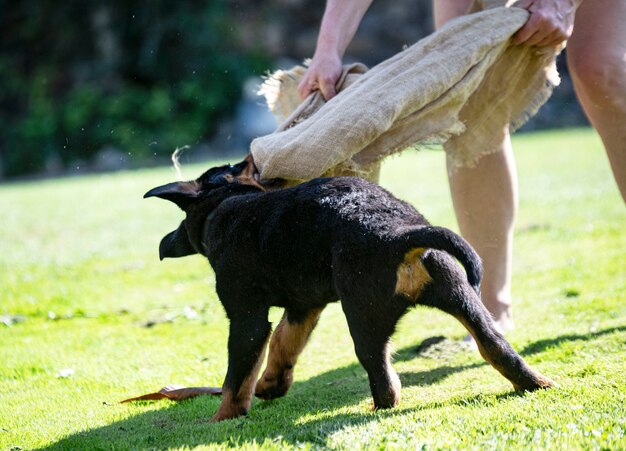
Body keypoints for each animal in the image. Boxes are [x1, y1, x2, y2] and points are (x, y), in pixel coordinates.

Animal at [145, 156, 552, 424]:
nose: (249, 157)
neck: (225, 204)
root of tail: (398, 232)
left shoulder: (246, 318)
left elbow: (237, 376)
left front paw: (222, 418)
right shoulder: (304, 306)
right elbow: (283, 342)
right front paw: (272, 384)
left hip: (363, 318)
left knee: (385, 382)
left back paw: (377, 406)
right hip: (463, 297)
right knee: (497, 348)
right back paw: (536, 383)